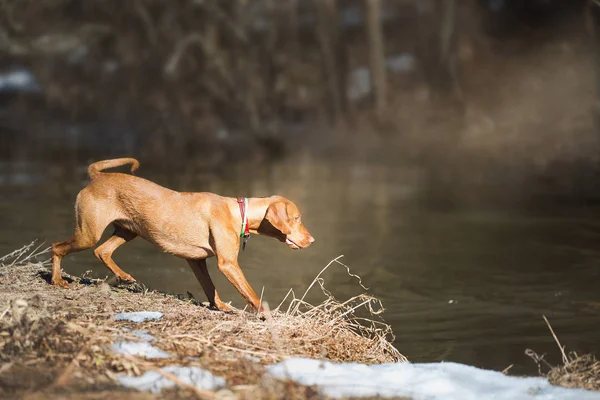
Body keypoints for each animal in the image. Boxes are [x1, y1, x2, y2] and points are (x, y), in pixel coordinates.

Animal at [49, 158, 316, 310]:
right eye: (297, 218)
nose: (312, 240)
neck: (238, 212)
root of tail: (97, 176)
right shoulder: (228, 264)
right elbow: (250, 292)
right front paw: (265, 314)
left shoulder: (196, 260)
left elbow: (210, 287)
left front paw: (220, 306)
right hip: (89, 233)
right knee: (57, 246)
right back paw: (57, 280)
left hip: (127, 231)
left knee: (102, 251)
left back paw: (123, 276)